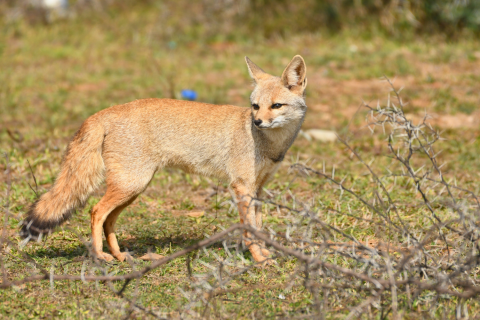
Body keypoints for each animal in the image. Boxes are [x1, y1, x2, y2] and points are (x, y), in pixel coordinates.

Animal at [19, 55, 308, 264]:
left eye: (276, 106)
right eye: (255, 106)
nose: (257, 122)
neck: (269, 144)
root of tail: (106, 111)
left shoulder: (257, 189)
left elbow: (258, 227)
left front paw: (266, 254)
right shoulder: (241, 187)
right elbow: (249, 231)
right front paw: (258, 258)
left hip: (133, 189)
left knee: (108, 219)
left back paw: (119, 255)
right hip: (131, 185)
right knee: (96, 211)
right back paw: (100, 256)